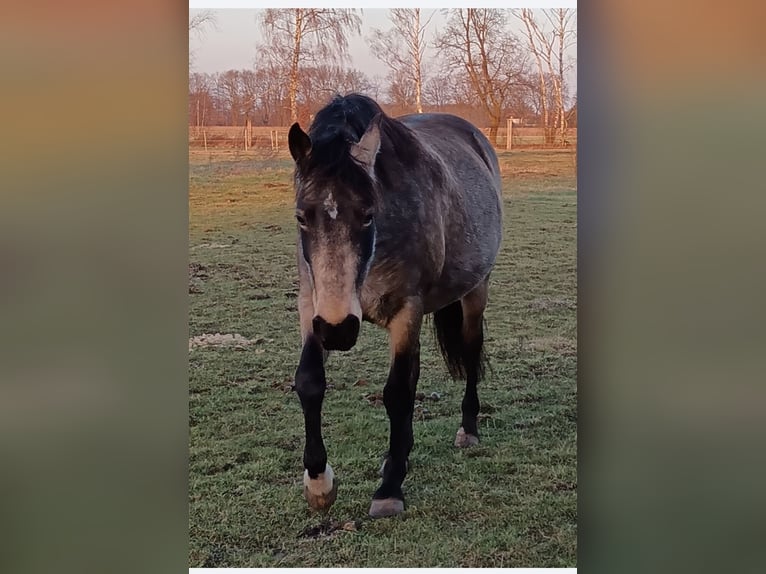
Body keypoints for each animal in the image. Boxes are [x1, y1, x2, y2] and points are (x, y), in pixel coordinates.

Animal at [288, 93, 504, 516]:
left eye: (368, 215)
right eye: (302, 217)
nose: (339, 331)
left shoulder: (407, 310)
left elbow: (398, 393)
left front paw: (389, 489)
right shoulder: (313, 307)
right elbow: (310, 382)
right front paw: (319, 482)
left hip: (475, 292)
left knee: (470, 353)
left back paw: (467, 430)